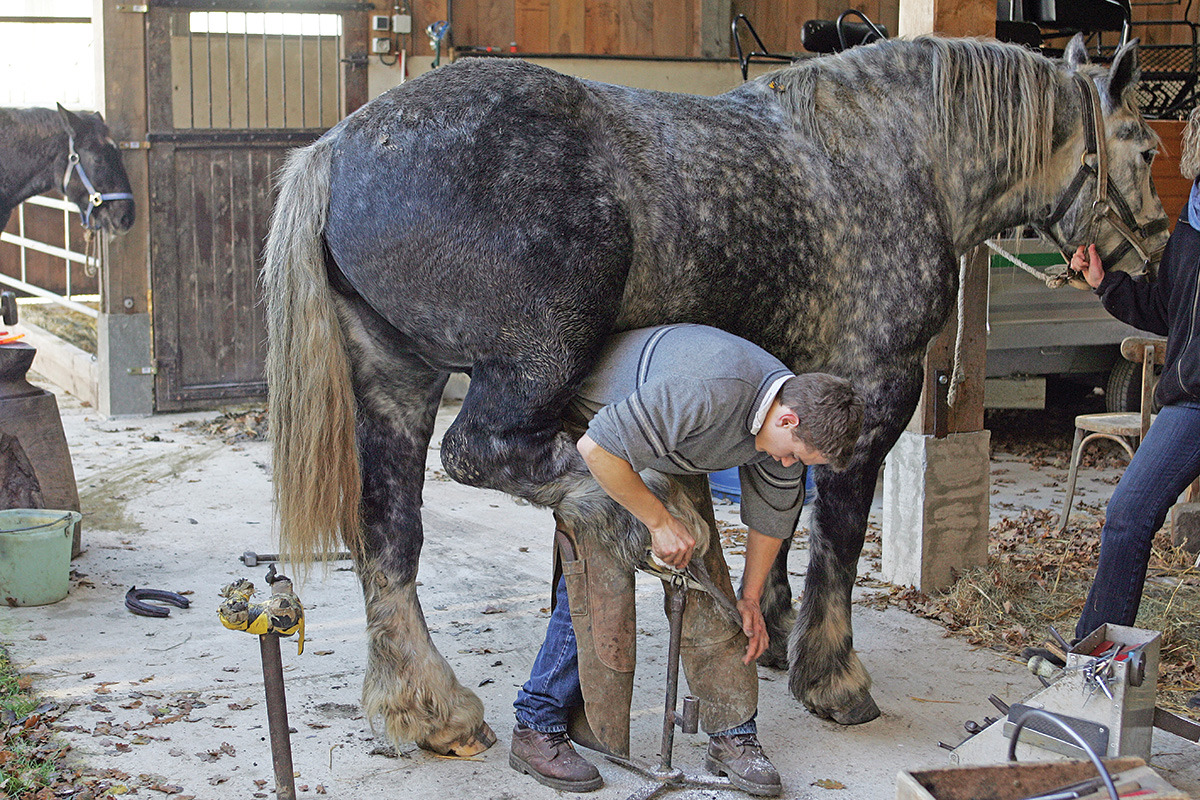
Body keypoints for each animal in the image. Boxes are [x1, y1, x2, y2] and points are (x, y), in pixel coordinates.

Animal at [263, 34, 1169, 755]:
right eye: (1147, 149)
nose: (1154, 251)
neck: (899, 156)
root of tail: (336, 149)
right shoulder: (875, 390)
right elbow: (838, 537)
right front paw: (832, 678)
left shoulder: (794, 391)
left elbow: (785, 512)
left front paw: (769, 629)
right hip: (530, 359)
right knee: (485, 454)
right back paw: (633, 518)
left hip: (396, 380)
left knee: (388, 534)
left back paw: (424, 708)